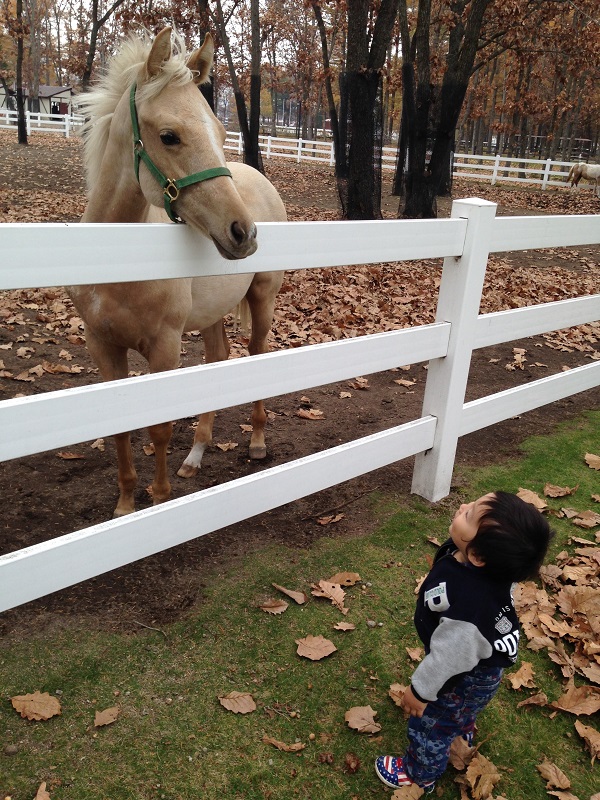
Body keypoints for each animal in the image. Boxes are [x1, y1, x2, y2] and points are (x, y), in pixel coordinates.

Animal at [70, 26, 286, 520]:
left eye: (221, 132)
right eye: (169, 136)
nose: (243, 232)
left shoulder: (164, 347)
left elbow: (159, 429)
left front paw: (159, 500)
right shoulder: (102, 345)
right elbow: (122, 428)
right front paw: (125, 506)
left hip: (262, 302)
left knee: (257, 354)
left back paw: (258, 442)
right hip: (210, 316)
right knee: (218, 357)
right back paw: (197, 454)